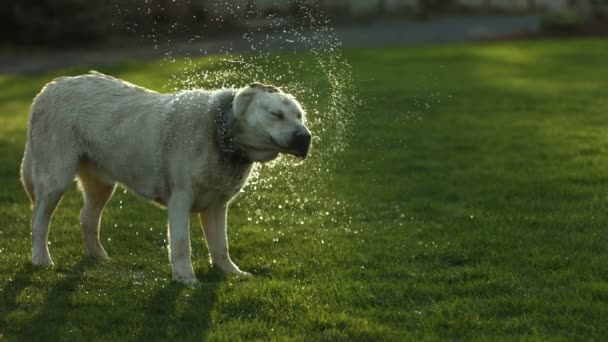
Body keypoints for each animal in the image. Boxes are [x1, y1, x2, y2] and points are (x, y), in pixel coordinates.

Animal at [20, 71, 314, 284]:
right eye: (276, 114)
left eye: (299, 116)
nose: (305, 137)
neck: (221, 135)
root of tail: (47, 89)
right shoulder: (180, 199)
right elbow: (182, 244)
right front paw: (185, 279)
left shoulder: (217, 205)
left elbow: (220, 245)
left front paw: (230, 273)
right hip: (55, 178)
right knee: (38, 223)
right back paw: (42, 260)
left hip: (101, 185)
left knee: (86, 219)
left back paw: (99, 258)